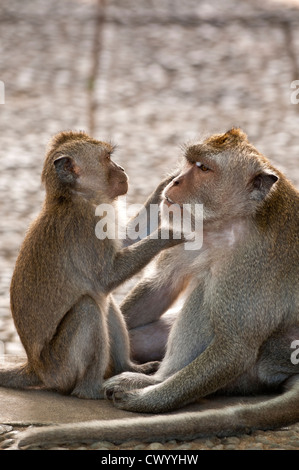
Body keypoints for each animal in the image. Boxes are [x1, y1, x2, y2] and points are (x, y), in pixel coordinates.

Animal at [0, 129, 186, 400]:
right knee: (88, 307)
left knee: (104, 303)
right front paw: (169, 234)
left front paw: (164, 185)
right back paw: (91, 389)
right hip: (60, 368)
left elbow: (125, 242)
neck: (75, 198)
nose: (121, 168)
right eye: (108, 158)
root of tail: (35, 368)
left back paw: (128, 368)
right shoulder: (86, 226)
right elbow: (108, 276)